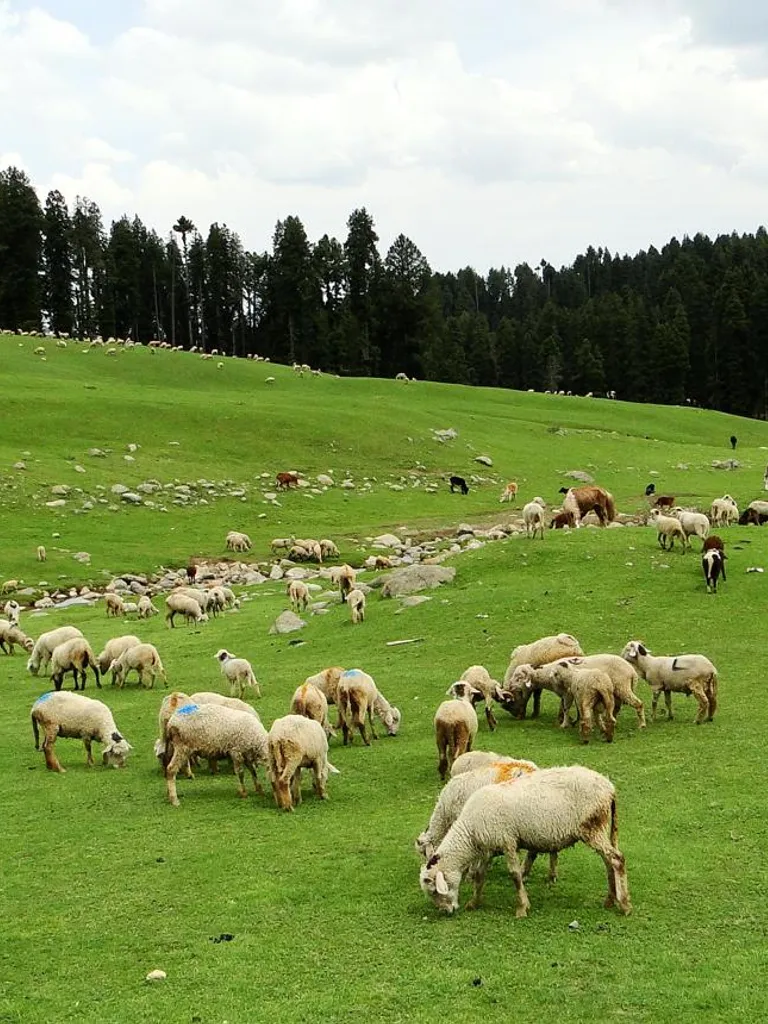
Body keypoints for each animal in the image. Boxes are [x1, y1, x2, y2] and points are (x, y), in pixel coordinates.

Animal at [419, 766, 631, 917]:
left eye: (434, 891)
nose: (446, 912)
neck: (470, 832)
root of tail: (609, 787)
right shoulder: (488, 847)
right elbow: (480, 876)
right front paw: (474, 903)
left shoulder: (507, 841)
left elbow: (515, 875)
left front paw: (522, 908)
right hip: (599, 829)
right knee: (608, 862)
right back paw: (610, 900)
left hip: (593, 827)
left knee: (617, 859)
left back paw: (625, 905)